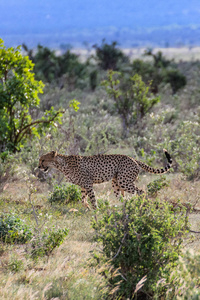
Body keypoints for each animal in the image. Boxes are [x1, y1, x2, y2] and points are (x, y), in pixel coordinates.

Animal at [38, 149, 172, 209]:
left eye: (43, 160)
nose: (38, 167)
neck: (61, 164)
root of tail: (132, 158)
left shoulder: (88, 184)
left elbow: (92, 199)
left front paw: (95, 210)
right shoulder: (83, 185)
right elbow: (82, 199)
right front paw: (86, 208)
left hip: (124, 182)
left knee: (141, 191)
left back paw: (142, 205)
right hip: (116, 183)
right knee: (121, 197)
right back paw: (121, 208)